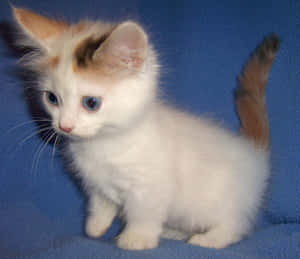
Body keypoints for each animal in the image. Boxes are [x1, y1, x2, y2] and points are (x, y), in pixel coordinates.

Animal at [11, 7, 278, 252]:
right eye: (52, 98)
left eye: (91, 103)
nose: (64, 126)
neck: (103, 144)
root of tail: (254, 154)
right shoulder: (97, 185)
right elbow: (100, 205)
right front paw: (96, 227)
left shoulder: (150, 188)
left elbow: (144, 215)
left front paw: (136, 239)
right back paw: (175, 232)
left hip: (222, 202)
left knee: (235, 226)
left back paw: (208, 240)